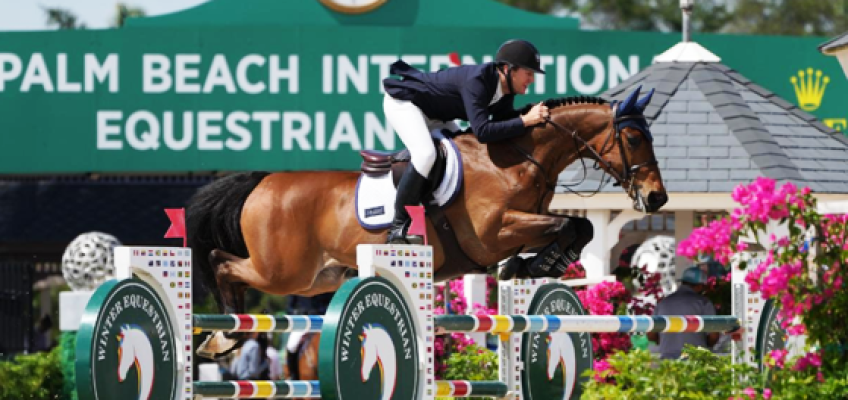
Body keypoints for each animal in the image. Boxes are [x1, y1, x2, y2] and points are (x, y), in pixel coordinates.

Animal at [187, 86, 668, 358]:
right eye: (632, 137)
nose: (657, 197)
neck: (514, 160)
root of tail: (262, 182)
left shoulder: (522, 224)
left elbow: (578, 228)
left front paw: (531, 266)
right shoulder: (493, 233)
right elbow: (568, 227)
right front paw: (528, 265)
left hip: (316, 277)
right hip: (283, 270)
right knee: (220, 261)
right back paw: (224, 336)